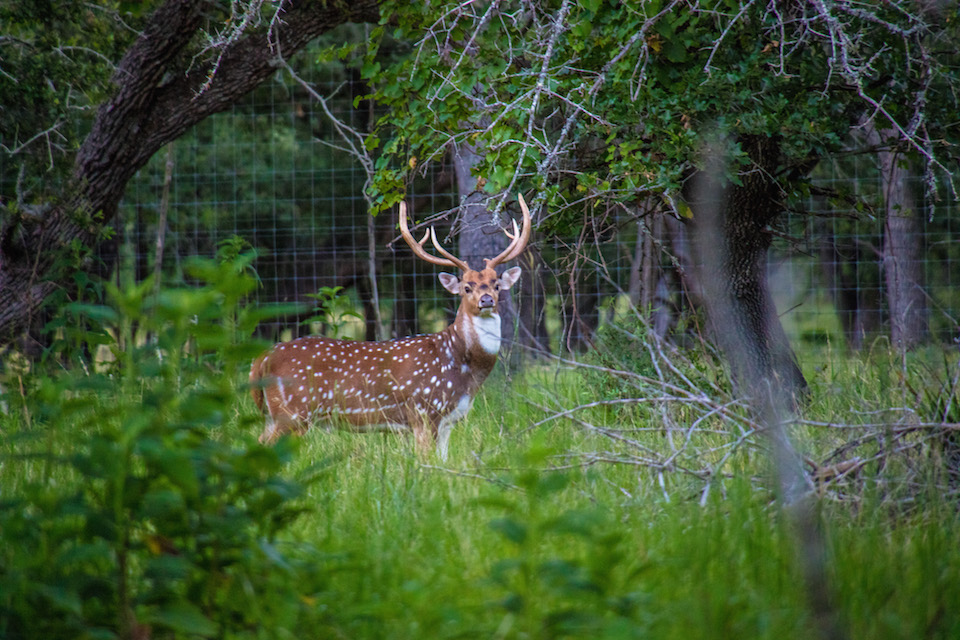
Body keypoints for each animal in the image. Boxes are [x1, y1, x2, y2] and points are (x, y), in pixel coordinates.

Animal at [249, 194, 532, 460]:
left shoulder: (448, 421)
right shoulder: (423, 410)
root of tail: (261, 359)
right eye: (466, 287)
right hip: (292, 411)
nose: (487, 300)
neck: (462, 366)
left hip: (275, 415)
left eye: (496, 284)